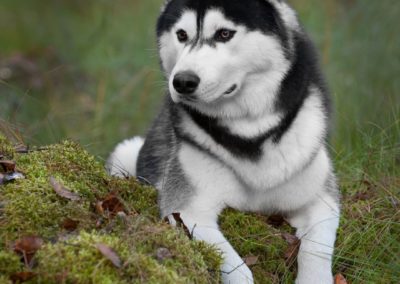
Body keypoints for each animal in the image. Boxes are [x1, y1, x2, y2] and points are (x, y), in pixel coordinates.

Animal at [108, 1, 340, 282]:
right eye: (181, 34)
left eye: (224, 34)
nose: (182, 81)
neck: (249, 131)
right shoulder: (188, 210)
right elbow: (237, 268)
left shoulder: (322, 201)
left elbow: (317, 250)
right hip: (126, 151)